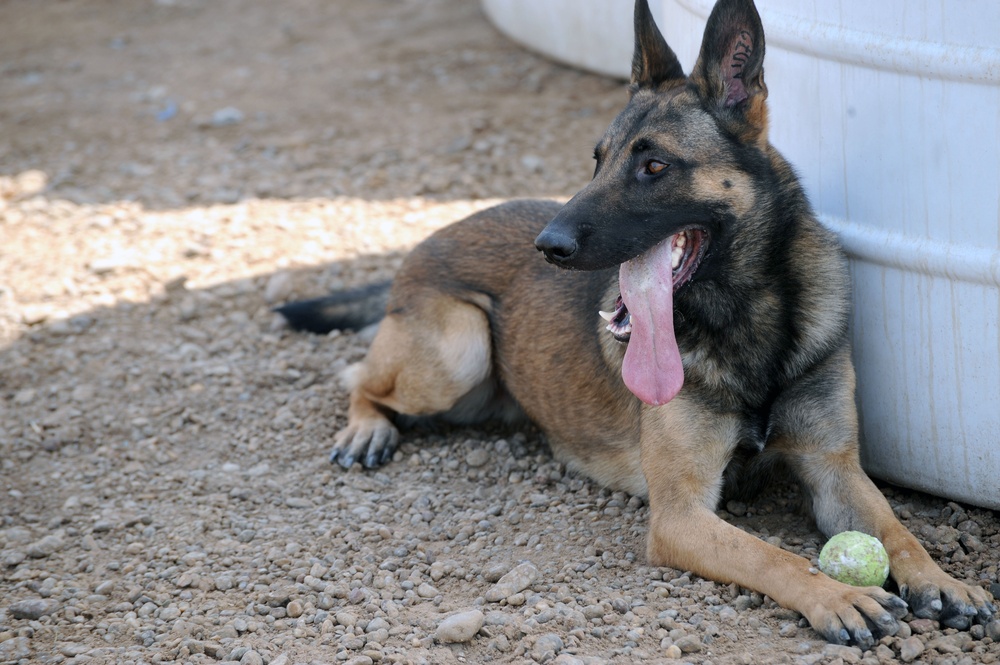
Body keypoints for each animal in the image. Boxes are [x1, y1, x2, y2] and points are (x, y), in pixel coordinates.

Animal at [278, 0, 996, 644]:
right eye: (598, 159)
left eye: (654, 165)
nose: (549, 245)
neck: (747, 317)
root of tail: (426, 241)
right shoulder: (681, 516)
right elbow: (773, 555)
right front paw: (840, 595)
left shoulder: (835, 469)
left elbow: (897, 527)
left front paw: (943, 580)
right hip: (458, 349)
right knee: (359, 376)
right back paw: (367, 428)